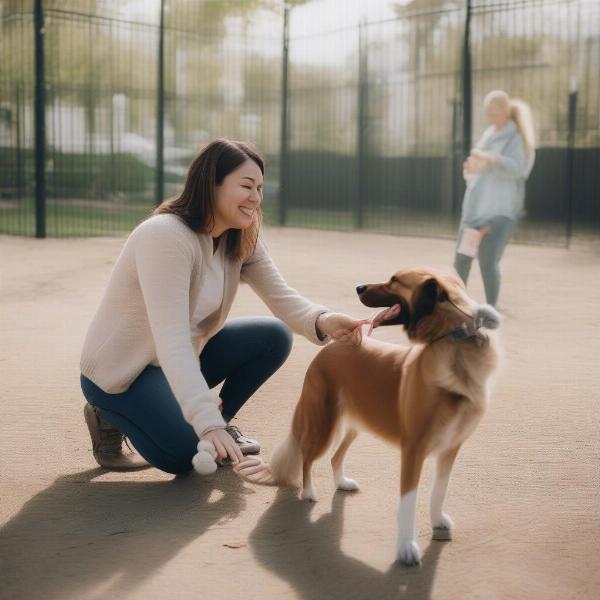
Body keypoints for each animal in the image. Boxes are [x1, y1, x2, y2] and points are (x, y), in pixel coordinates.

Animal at [238, 270, 502, 564]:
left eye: (395, 281)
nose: (359, 287)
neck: (454, 345)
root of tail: (331, 347)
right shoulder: (413, 450)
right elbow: (408, 502)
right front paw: (407, 548)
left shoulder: (450, 448)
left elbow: (439, 491)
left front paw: (437, 521)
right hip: (323, 422)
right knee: (307, 458)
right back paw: (308, 493)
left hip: (354, 424)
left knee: (335, 457)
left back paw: (342, 483)